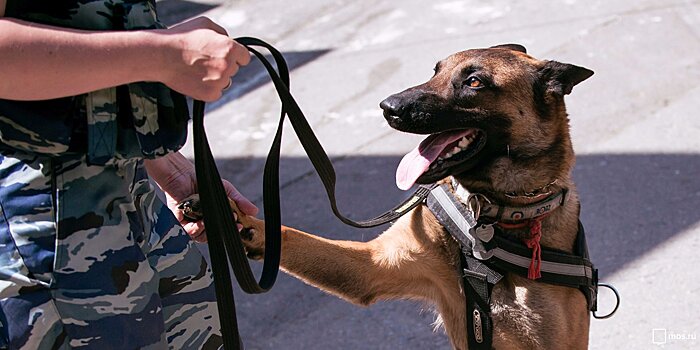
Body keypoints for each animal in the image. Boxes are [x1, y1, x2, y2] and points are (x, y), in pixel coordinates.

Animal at [226, 45, 596, 348]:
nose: (387, 107)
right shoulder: (374, 265)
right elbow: (295, 238)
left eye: (474, 82)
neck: (490, 215)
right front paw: (241, 222)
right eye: (435, 72)